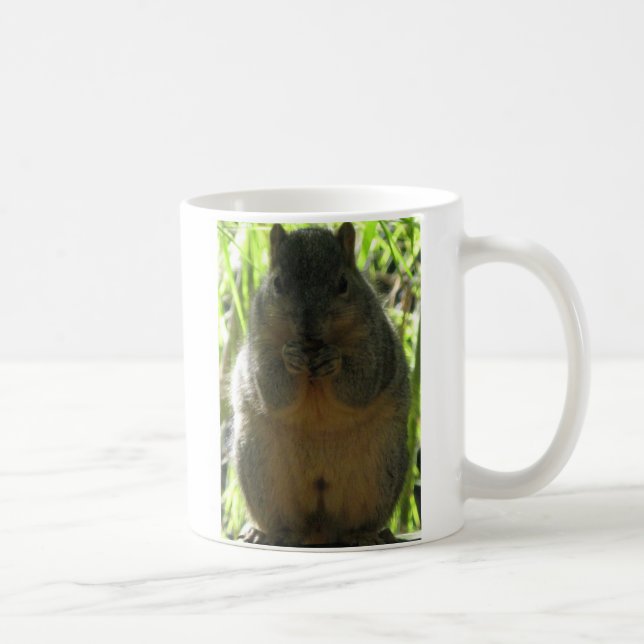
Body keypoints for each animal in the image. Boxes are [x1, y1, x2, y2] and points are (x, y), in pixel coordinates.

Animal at [230, 222, 411, 547]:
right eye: (278, 283)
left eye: (343, 283)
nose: (308, 329)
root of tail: (319, 532)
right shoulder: (259, 344)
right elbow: (273, 390)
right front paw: (290, 356)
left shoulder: (376, 345)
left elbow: (361, 385)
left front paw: (333, 359)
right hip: (261, 468)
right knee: (283, 523)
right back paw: (264, 533)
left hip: (380, 469)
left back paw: (367, 535)